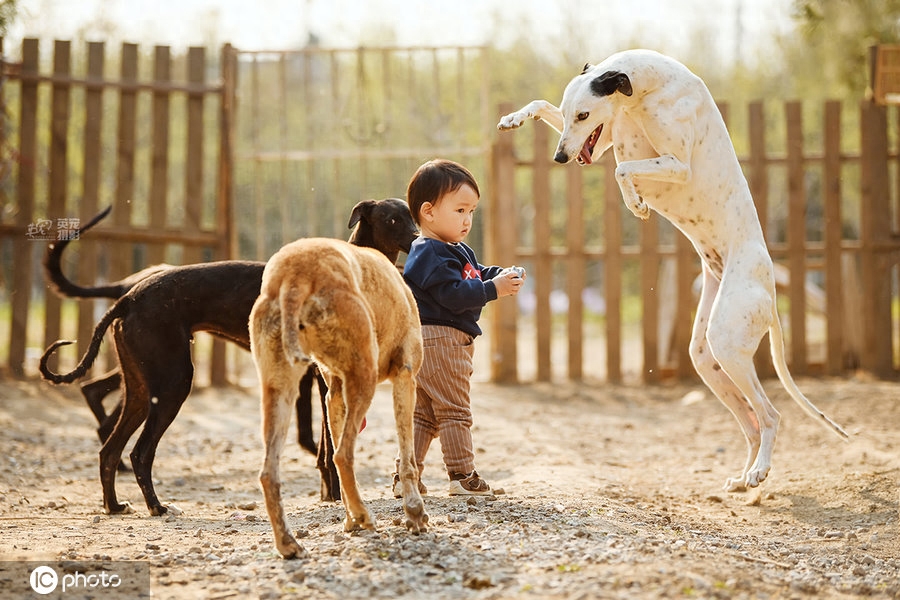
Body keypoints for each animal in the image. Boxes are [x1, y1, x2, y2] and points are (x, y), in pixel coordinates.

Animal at [40, 198, 420, 516]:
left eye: (412, 215)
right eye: (392, 218)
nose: (419, 238)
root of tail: (129, 296)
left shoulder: (322, 380)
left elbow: (325, 448)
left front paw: (333, 495)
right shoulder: (324, 381)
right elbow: (326, 447)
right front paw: (338, 496)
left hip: (140, 388)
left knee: (109, 449)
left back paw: (115, 506)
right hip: (173, 384)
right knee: (139, 451)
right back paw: (156, 507)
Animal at [248, 238, 428, 556]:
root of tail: (294, 276)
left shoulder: (333, 395)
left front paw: (349, 521)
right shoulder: (406, 378)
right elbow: (408, 460)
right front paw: (414, 513)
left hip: (279, 390)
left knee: (269, 473)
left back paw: (289, 544)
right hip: (364, 379)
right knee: (342, 455)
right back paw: (365, 515)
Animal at [496, 49, 848, 492]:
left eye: (584, 114)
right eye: (569, 111)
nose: (560, 157)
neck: (648, 87)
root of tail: (769, 289)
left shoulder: (676, 165)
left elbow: (623, 170)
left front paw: (636, 204)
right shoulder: (606, 140)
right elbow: (546, 108)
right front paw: (514, 117)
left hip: (727, 343)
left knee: (770, 414)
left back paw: (760, 471)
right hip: (706, 356)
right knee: (749, 422)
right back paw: (742, 476)